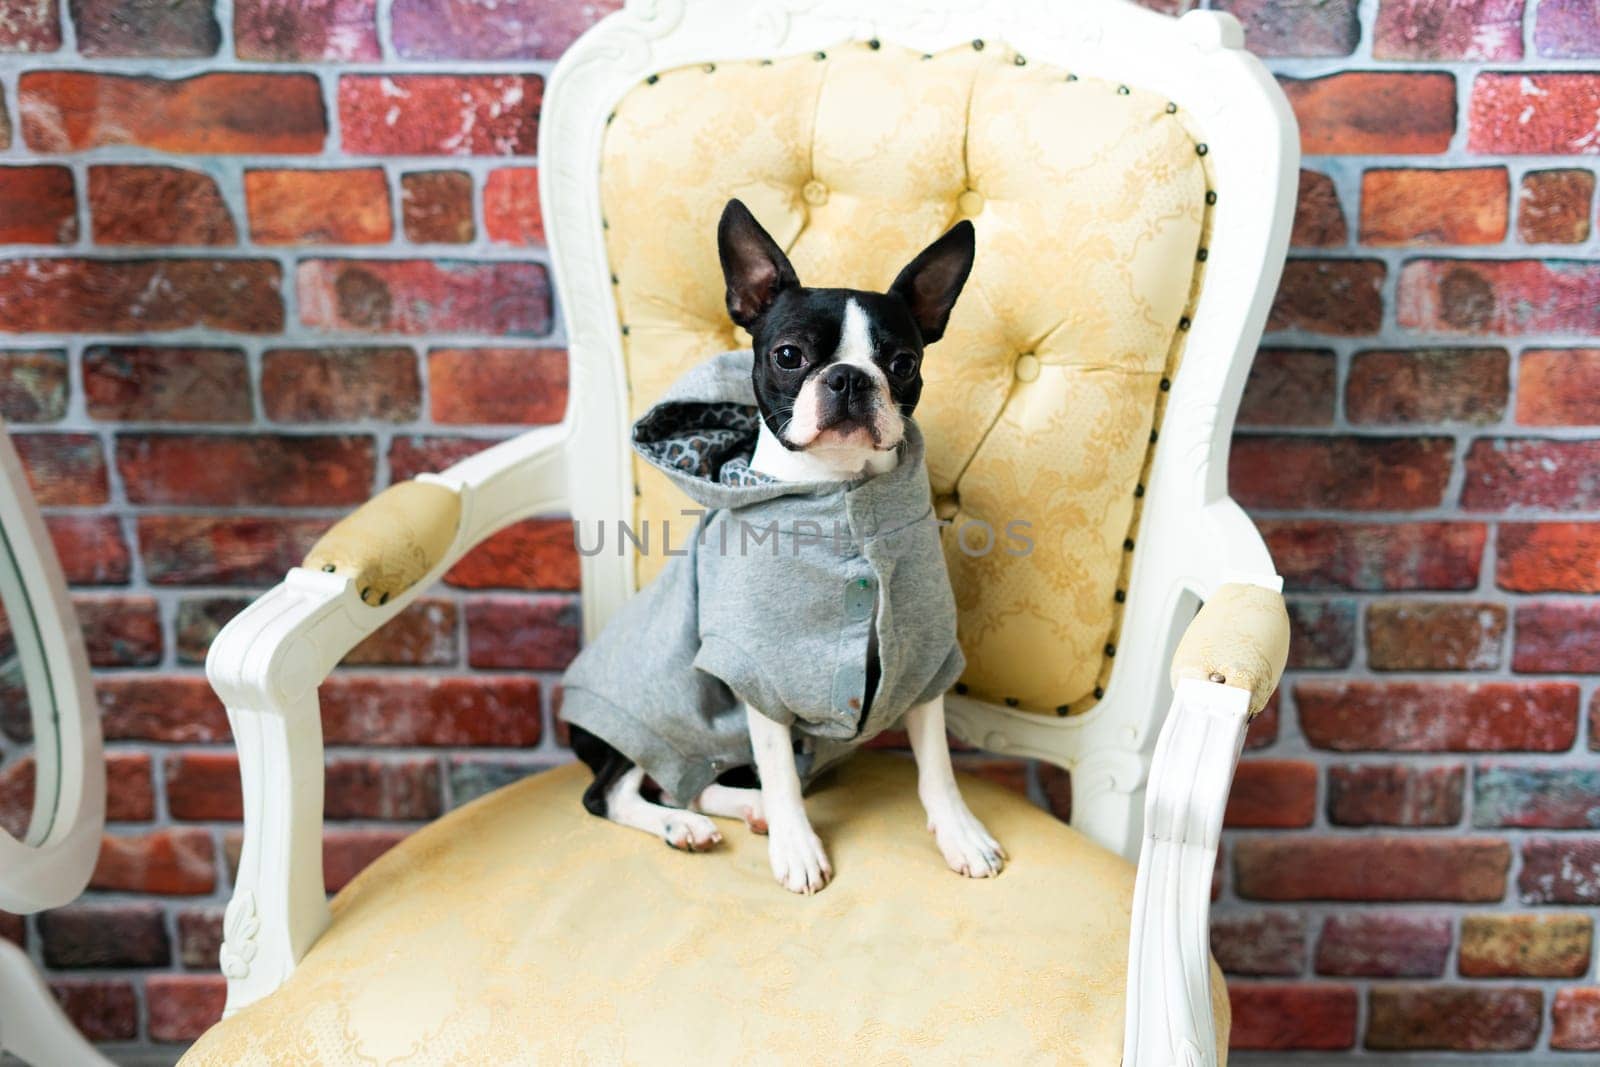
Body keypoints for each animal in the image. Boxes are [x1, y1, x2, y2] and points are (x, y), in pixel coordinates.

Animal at [569, 199, 1004, 895]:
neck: (834, 492)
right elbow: (778, 768)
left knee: (690, 781)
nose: (849, 378)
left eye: (903, 363)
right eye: (790, 354)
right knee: (619, 789)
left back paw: (741, 810)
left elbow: (937, 761)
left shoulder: (919, 652)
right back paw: (689, 825)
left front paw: (960, 833)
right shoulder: (755, 665)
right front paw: (798, 847)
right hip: (653, 711)